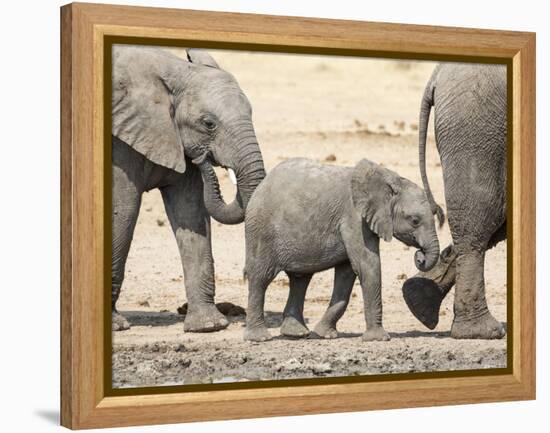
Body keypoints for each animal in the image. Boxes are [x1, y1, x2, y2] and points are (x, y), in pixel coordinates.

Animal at [111, 46, 266, 330]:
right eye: (208, 124)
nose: (203, 158)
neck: (176, 71)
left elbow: (191, 210)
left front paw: (208, 326)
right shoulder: (121, 142)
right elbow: (123, 209)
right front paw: (116, 325)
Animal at [244, 158, 442, 340]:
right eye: (414, 220)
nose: (420, 256)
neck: (390, 179)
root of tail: (262, 185)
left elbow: (347, 274)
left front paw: (324, 334)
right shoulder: (354, 217)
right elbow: (367, 265)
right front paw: (378, 338)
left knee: (300, 279)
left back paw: (296, 333)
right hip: (261, 230)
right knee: (261, 277)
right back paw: (259, 337)